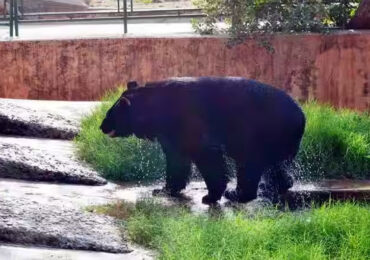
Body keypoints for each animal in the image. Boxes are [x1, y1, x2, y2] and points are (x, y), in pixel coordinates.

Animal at [99, 77, 304, 205]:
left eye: (109, 115)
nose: (102, 127)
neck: (158, 109)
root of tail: (301, 117)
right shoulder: (170, 133)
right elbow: (177, 159)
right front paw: (164, 189)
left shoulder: (190, 121)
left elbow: (205, 154)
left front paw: (211, 195)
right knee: (274, 166)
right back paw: (278, 185)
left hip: (259, 131)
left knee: (249, 163)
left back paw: (238, 194)